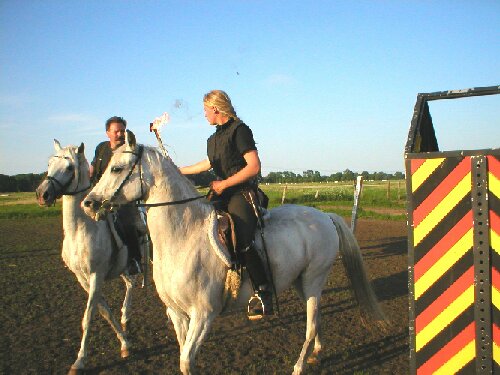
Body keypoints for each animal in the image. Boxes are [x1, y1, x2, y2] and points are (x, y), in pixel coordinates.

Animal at [35, 140, 142, 374]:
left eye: (69, 168)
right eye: (49, 163)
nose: (42, 194)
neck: (81, 230)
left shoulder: (96, 275)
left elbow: (88, 317)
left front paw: (80, 360)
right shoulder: (82, 278)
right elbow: (104, 311)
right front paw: (125, 342)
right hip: (123, 268)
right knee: (130, 284)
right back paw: (125, 316)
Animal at [83, 131, 386, 374]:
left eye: (117, 168)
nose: (89, 203)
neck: (184, 235)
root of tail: (325, 217)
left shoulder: (203, 315)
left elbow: (186, 362)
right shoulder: (178, 314)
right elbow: (183, 357)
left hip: (313, 279)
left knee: (310, 326)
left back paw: (299, 366)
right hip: (301, 282)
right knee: (317, 319)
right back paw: (317, 355)